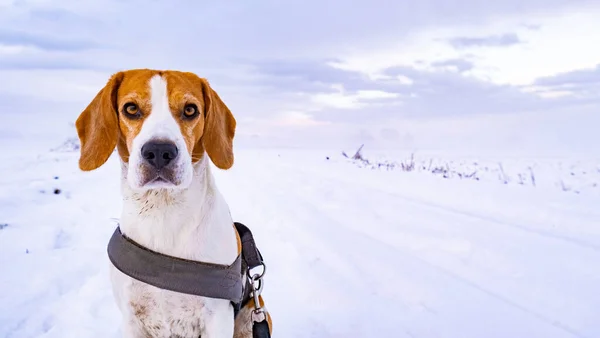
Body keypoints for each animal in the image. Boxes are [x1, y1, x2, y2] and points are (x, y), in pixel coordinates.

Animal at [74, 69, 276, 338]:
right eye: (131, 108)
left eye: (190, 110)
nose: (160, 151)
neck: (163, 212)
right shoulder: (131, 318)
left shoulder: (218, 317)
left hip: (255, 315)